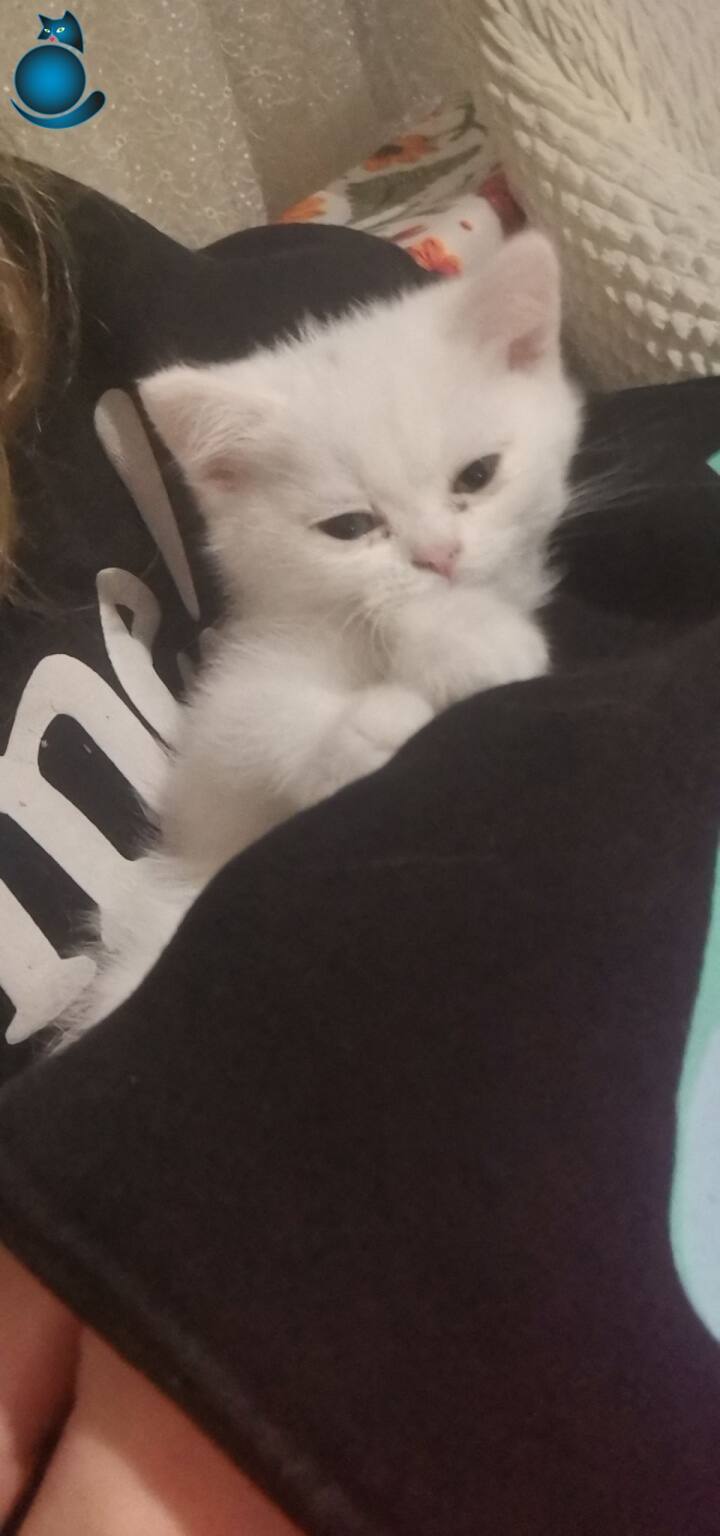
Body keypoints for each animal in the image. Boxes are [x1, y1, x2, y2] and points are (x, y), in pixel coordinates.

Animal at [58, 229, 582, 1041]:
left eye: (477, 476)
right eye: (349, 527)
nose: (438, 556)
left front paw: (466, 637)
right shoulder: (208, 778)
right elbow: (246, 730)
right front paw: (374, 719)